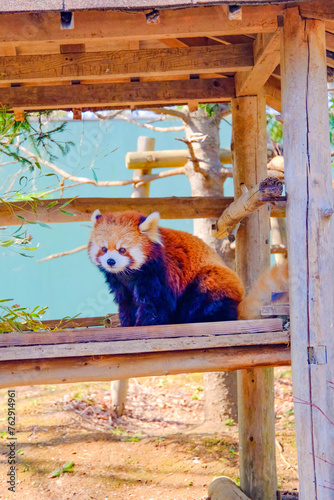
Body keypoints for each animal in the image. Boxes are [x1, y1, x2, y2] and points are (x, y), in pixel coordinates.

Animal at [88, 209, 245, 326]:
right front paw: (127, 323)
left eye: (122, 250)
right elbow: (126, 302)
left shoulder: (159, 273)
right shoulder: (119, 283)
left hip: (211, 281)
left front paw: (145, 323)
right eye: (104, 249)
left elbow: (155, 304)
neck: (128, 274)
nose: (110, 261)